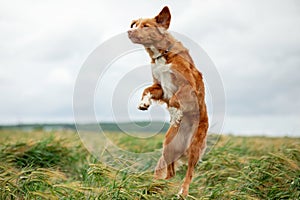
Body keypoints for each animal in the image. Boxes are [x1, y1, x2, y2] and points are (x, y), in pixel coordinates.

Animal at [127, 5, 209, 195]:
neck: (162, 54)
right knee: (170, 172)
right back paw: (158, 186)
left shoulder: (188, 86)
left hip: (194, 146)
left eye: (146, 26)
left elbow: (175, 99)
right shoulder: (160, 87)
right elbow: (147, 90)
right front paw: (144, 103)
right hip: (168, 145)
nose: (129, 31)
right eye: (136, 25)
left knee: (189, 173)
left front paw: (175, 114)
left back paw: (182, 192)